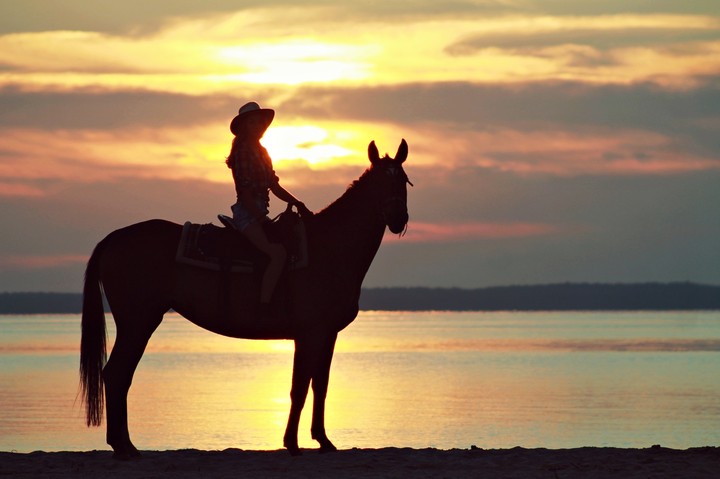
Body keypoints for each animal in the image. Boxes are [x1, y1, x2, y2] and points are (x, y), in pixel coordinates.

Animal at [79, 140, 410, 462]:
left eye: (404, 181)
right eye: (380, 182)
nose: (398, 219)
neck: (330, 248)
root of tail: (113, 239)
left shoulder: (327, 335)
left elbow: (320, 386)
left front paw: (323, 440)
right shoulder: (309, 334)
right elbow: (299, 388)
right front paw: (292, 443)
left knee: (119, 375)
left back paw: (124, 445)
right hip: (138, 322)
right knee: (117, 374)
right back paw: (123, 446)